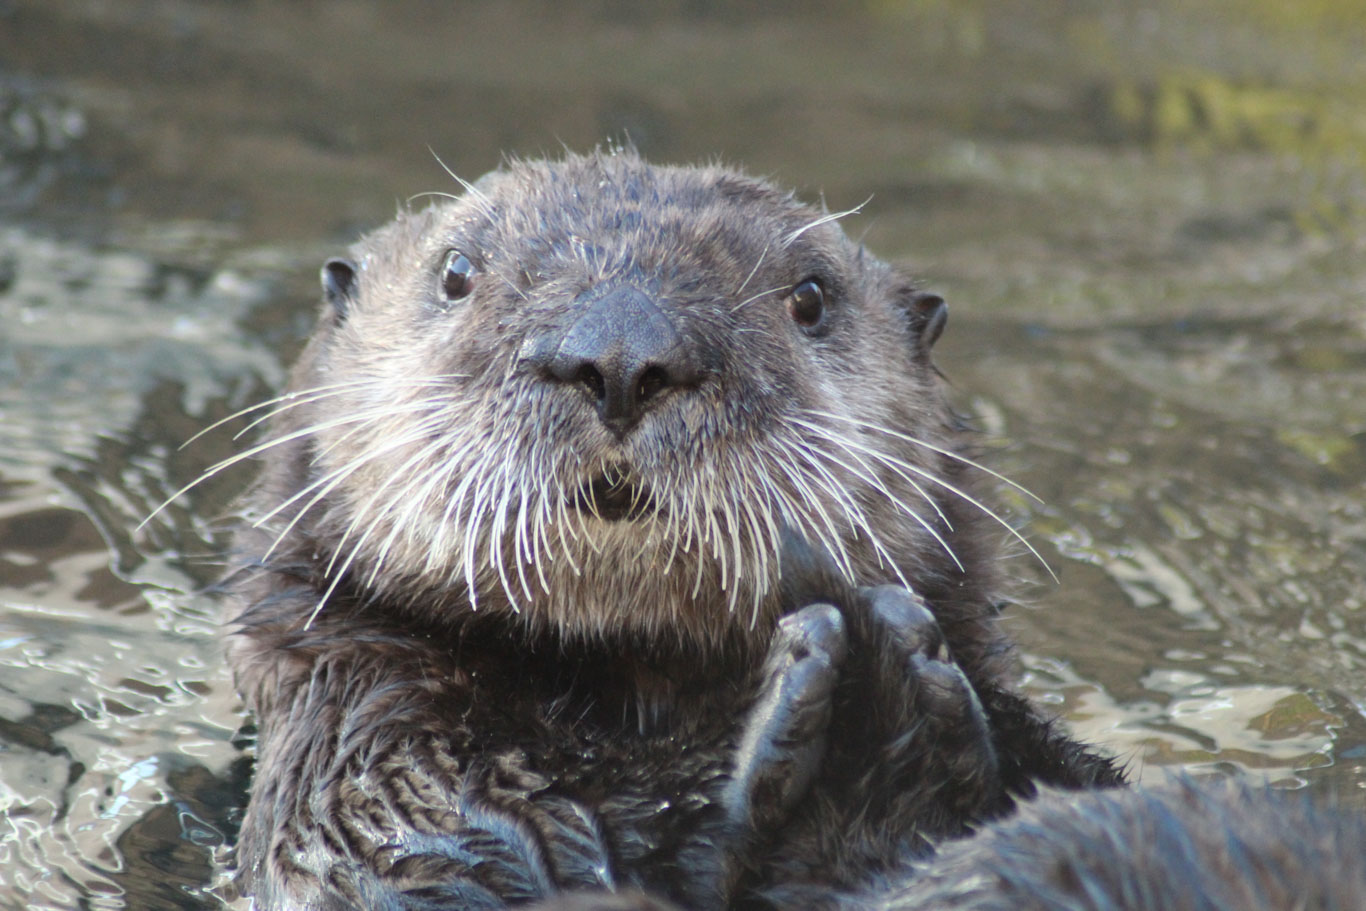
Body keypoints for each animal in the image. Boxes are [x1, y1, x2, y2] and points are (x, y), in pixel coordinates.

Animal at [221, 151, 1120, 911]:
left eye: (811, 296)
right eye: (455, 272)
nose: (620, 351)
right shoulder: (366, 784)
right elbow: (451, 855)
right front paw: (862, 716)